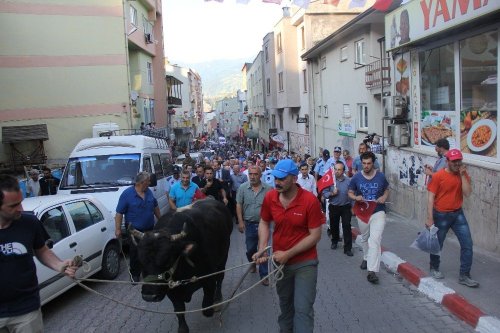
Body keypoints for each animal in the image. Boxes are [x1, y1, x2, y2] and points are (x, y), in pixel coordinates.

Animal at [133, 198, 234, 330]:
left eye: (168, 259)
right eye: (140, 261)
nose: (149, 296)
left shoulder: (209, 279)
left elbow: (206, 308)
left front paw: (212, 306)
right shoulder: (171, 289)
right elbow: (179, 310)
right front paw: (183, 328)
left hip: (224, 256)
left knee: (220, 277)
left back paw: (217, 299)